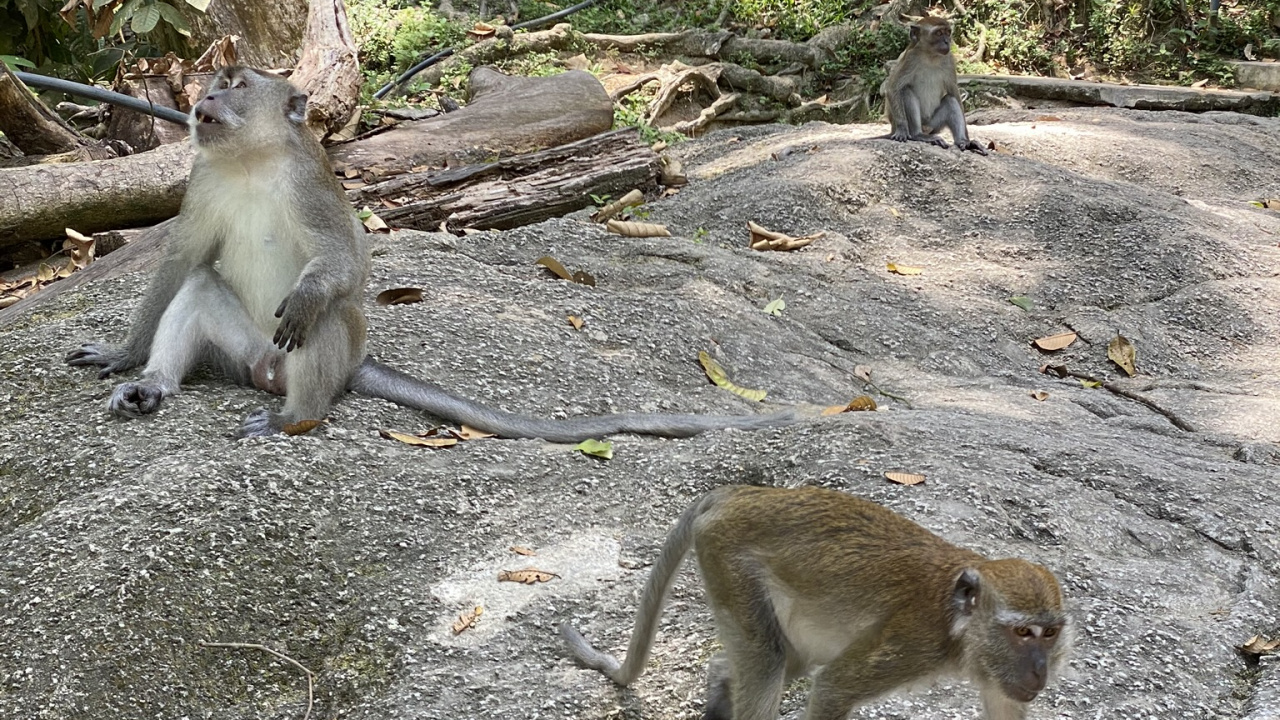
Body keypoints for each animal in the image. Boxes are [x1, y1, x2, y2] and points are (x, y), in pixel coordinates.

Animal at [65, 66, 798, 441]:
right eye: (214, 84)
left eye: (236, 83)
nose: (205, 99)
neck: (250, 162)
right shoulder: (203, 181)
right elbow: (179, 263)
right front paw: (124, 353)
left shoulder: (311, 189)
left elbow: (347, 265)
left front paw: (313, 292)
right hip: (246, 351)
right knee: (200, 287)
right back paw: (154, 386)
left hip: (307, 361)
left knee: (323, 320)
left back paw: (294, 417)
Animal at [561, 485, 1070, 720]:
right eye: (1022, 632)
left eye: (1049, 634)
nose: (1039, 671)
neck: (958, 626)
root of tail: (741, 493)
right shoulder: (912, 643)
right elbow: (832, 689)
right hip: (728, 560)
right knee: (768, 661)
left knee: (780, 661)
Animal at [878, 16, 988, 155]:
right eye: (939, 33)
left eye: (947, 32)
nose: (947, 42)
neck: (931, 56)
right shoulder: (909, 58)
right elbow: (893, 87)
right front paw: (902, 130)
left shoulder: (949, 59)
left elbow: (954, 93)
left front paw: (967, 139)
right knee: (906, 91)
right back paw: (917, 135)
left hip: (933, 125)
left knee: (951, 101)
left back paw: (963, 142)